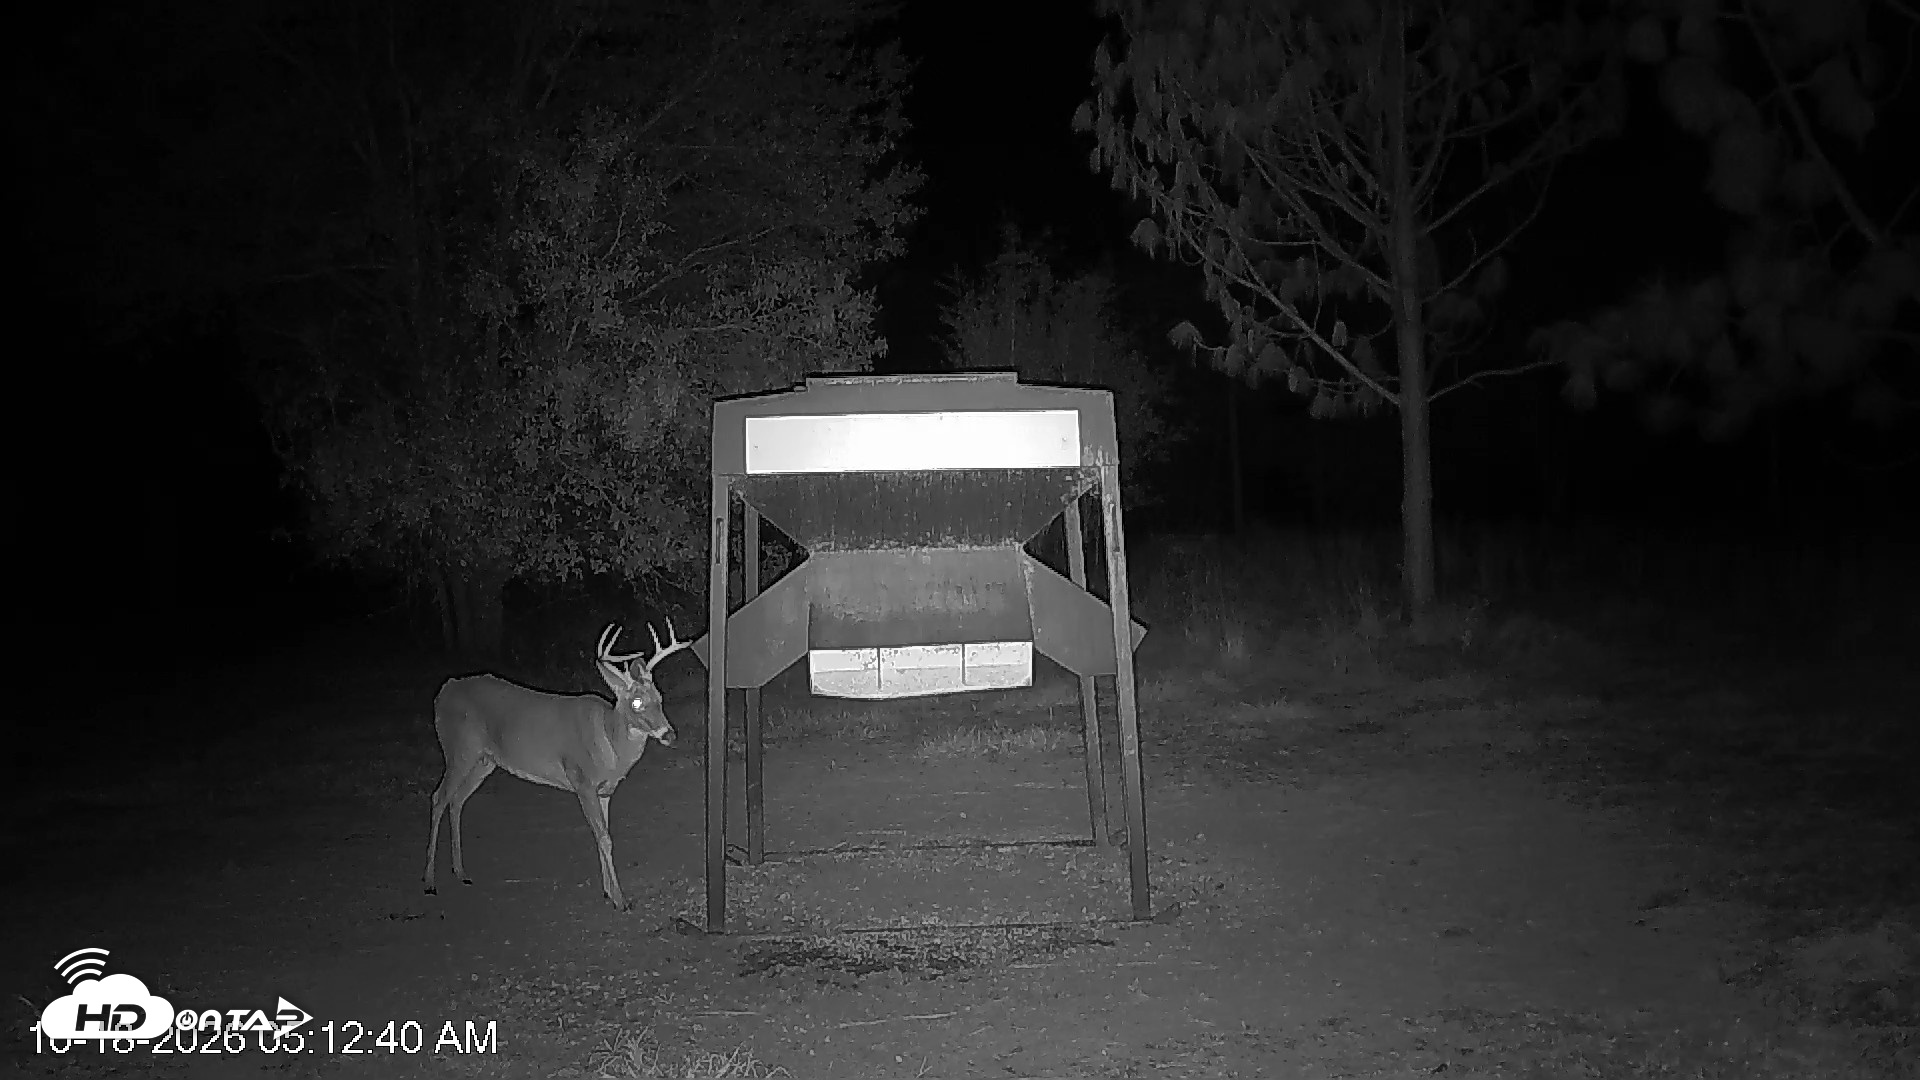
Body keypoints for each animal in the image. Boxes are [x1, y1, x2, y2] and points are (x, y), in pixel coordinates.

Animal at [423, 620, 691, 911]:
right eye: (637, 702)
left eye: (659, 697)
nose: (669, 735)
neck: (610, 745)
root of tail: (443, 692)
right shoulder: (581, 780)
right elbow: (604, 838)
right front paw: (621, 899)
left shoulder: (605, 791)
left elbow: (604, 835)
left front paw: (608, 891)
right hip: (459, 749)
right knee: (438, 797)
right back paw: (429, 882)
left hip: (484, 761)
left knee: (457, 800)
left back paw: (460, 872)